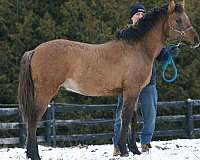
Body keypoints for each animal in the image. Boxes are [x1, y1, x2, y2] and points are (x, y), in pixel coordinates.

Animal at [18, 0, 199, 159]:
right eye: (178, 20)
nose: (196, 40)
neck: (138, 48)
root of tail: (35, 51)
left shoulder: (133, 93)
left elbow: (133, 119)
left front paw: (134, 150)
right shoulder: (131, 91)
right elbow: (126, 118)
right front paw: (125, 150)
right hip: (45, 93)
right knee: (33, 120)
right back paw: (34, 155)